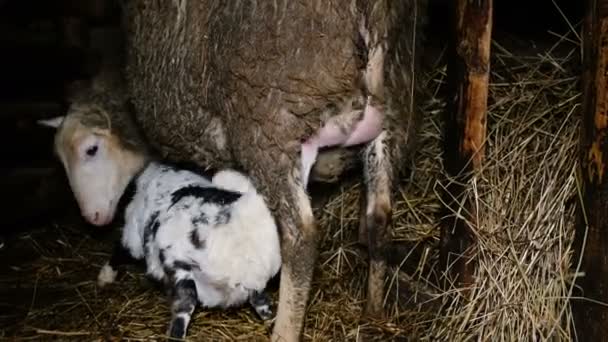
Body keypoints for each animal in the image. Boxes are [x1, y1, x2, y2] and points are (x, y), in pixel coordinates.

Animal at [120, 2, 428, 340]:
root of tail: (368, 15)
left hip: (274, 127)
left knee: (301, 238)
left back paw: (284, 330)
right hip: (394, 116)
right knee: (379, 219)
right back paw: (373, 310)